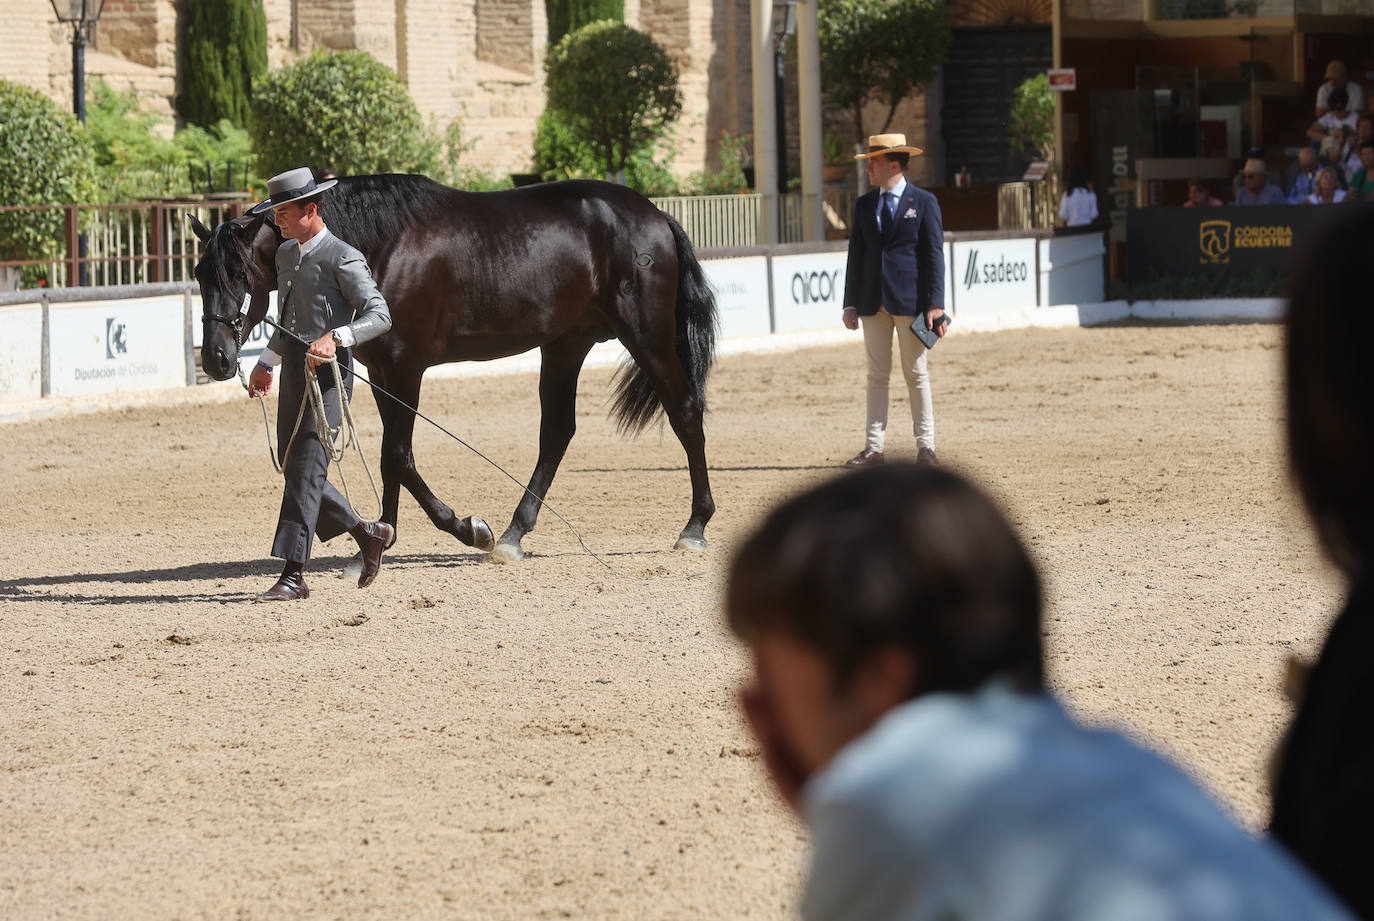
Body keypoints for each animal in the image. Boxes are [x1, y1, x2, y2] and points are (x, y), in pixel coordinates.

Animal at [192, 175, 718, 563]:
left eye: (237, 271)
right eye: (199, 273)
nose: (215, 358)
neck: (381, 244)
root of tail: (655, 215)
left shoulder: (406, 368)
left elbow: (396, 456)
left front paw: (457, 530)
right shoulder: (382, 373)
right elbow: (395, 458)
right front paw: (388, 538)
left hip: (645, 335)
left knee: (685, 411)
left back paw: (694, 527)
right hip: (566, 343)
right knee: (557, 433)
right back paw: (512, 535)